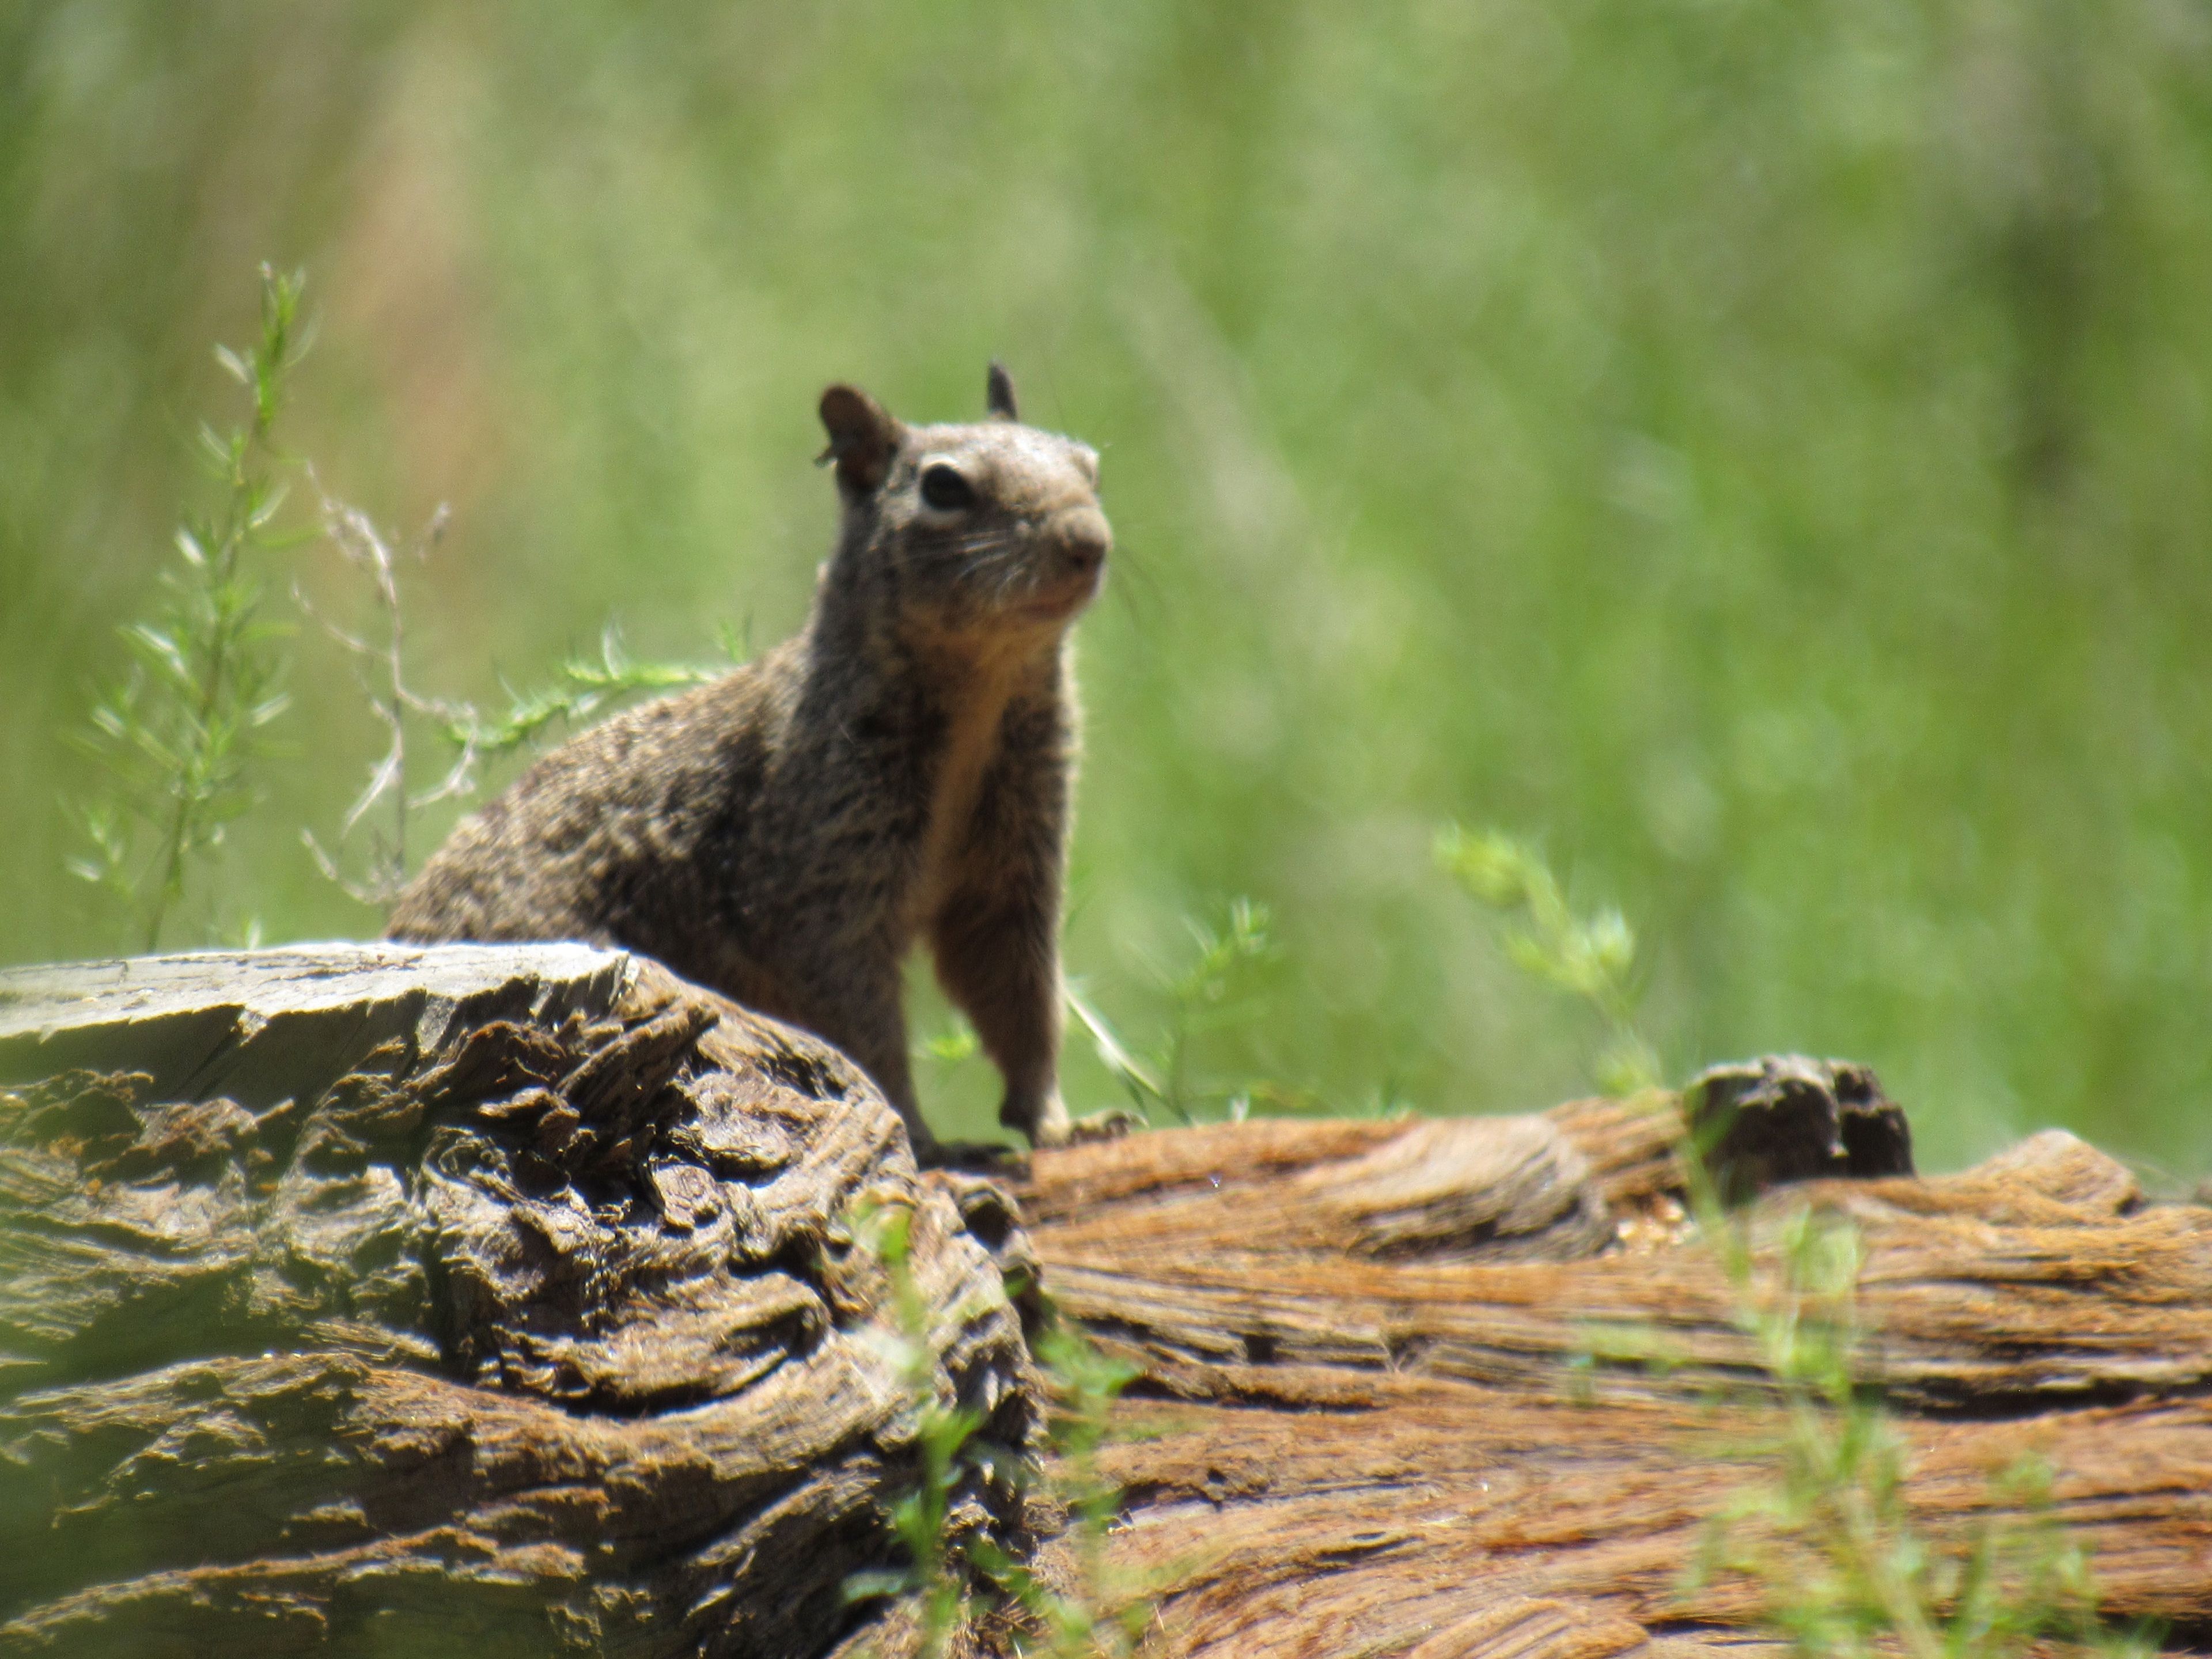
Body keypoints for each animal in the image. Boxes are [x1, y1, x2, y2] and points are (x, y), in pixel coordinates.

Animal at [385, 367, 1106, 1159]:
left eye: (1090, 465)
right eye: (944, 487)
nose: (1089, 541)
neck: (985, 689)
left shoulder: (1015, 864)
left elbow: (1018, 997)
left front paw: (1060, 1122)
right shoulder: (819, 881)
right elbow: (863, 1029)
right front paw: (926, 1141)